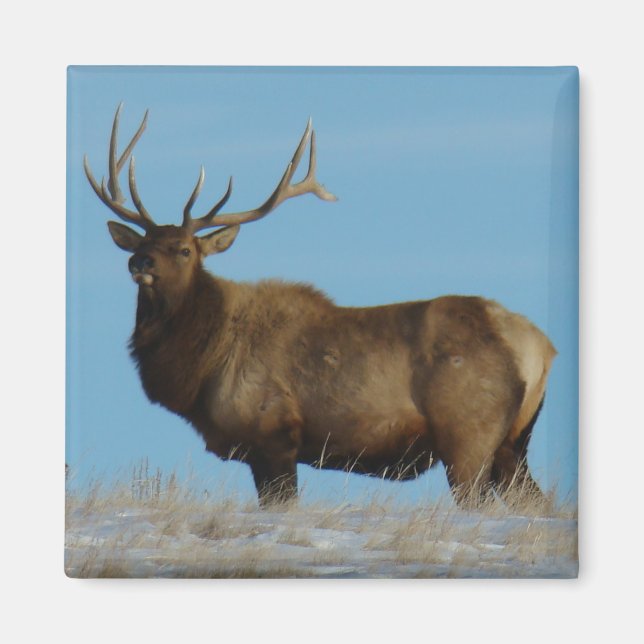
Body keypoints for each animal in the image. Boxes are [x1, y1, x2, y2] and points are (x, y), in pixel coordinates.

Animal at [84, 104, 557, 507]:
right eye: (142, 242)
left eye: (183, 250)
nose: (140, 262)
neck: (201, 369)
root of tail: (541, 347)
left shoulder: (273, 434)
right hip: (513, 442)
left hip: (468, 433)